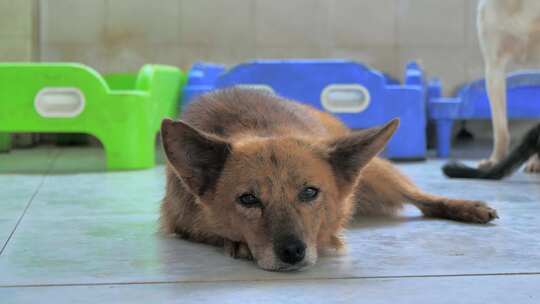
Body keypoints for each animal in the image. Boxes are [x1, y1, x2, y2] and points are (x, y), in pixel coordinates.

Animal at [160, 88, 498, 270]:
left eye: (309, 192)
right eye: (248, 199)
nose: (293, 252)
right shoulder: (179, 222)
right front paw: (238, 243)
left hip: (375, 172)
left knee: (423, 199)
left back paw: (466, 207)